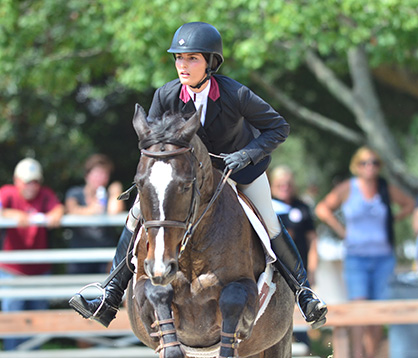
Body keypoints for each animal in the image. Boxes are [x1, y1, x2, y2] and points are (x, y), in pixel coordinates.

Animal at [125, 104, 292, 358]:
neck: (189, 253)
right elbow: (156, 293)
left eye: (186, 185)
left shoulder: (244, 287)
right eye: (139, 183)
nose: (161, 267)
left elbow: (232, 299)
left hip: (278, 342)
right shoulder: (145, 281)